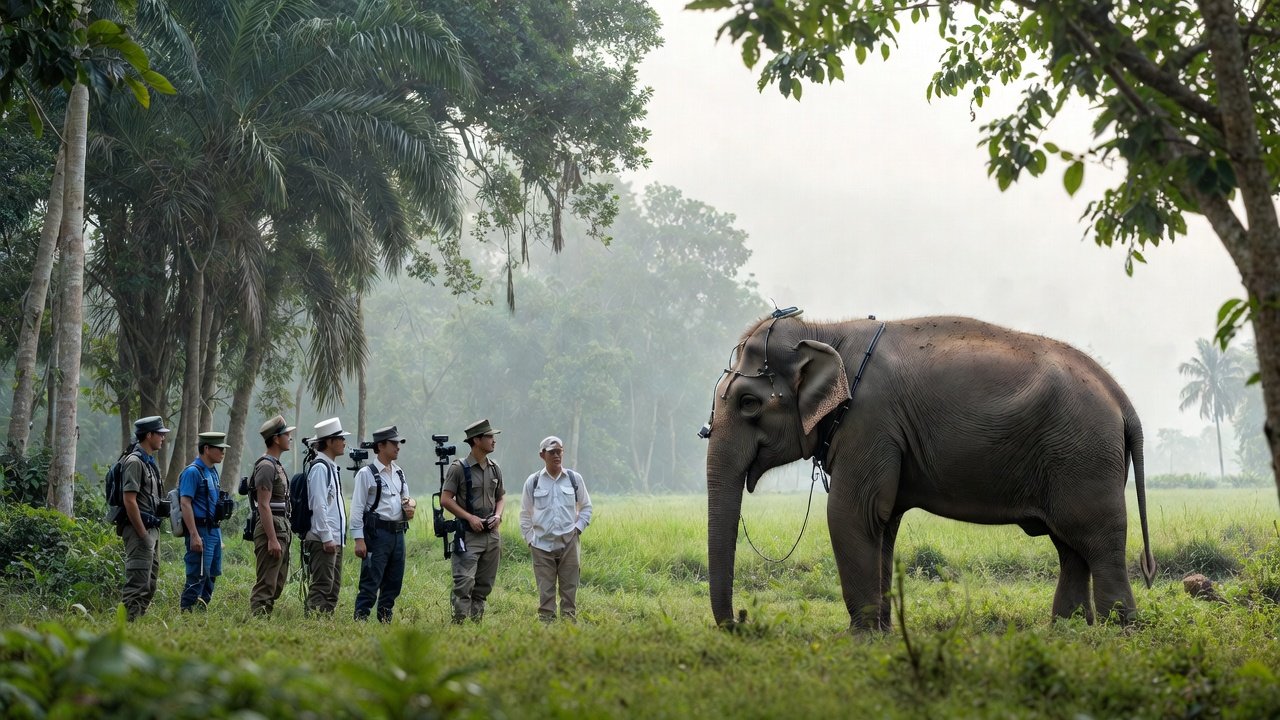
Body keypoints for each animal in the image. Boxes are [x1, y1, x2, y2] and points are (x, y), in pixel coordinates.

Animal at [705, 313, 1156, 630]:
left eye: (748, 403)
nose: (741, 620)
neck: (826, 331)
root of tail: (1121, 397)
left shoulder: (870, 420)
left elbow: (851, 514)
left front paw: (860, 639)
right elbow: (881, 523)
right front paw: (883, 633)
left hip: (1083, 455)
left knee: (1098, 540)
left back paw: (1118, 631)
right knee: (1070, 546)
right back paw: (1066, 630)